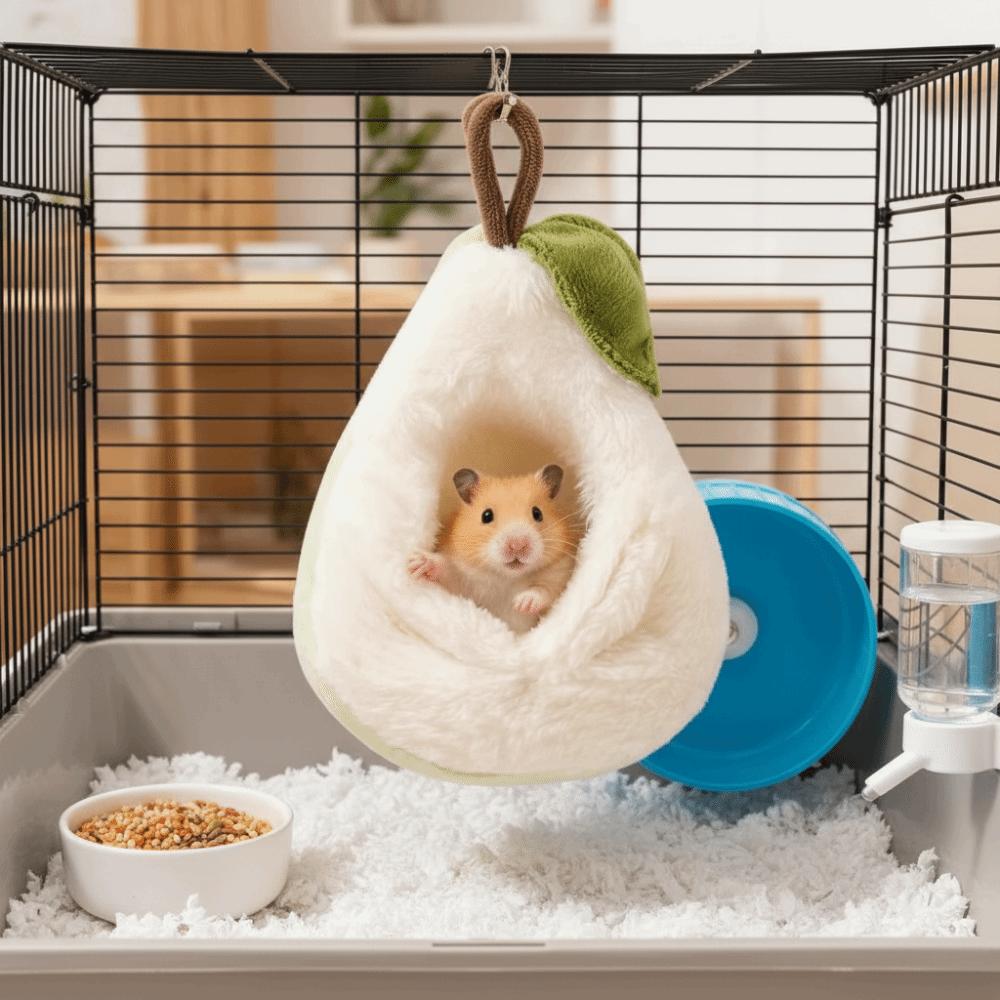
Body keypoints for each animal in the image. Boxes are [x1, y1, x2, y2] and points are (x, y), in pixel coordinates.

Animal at [409, 464, 579, 633]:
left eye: (537, 513)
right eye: (486, 515)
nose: (517, 545)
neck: (507, 577)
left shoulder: (560, 574)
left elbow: (545, 591)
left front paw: (521, 603)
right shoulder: (464, 581)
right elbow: (448, 571)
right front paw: (415, 564)